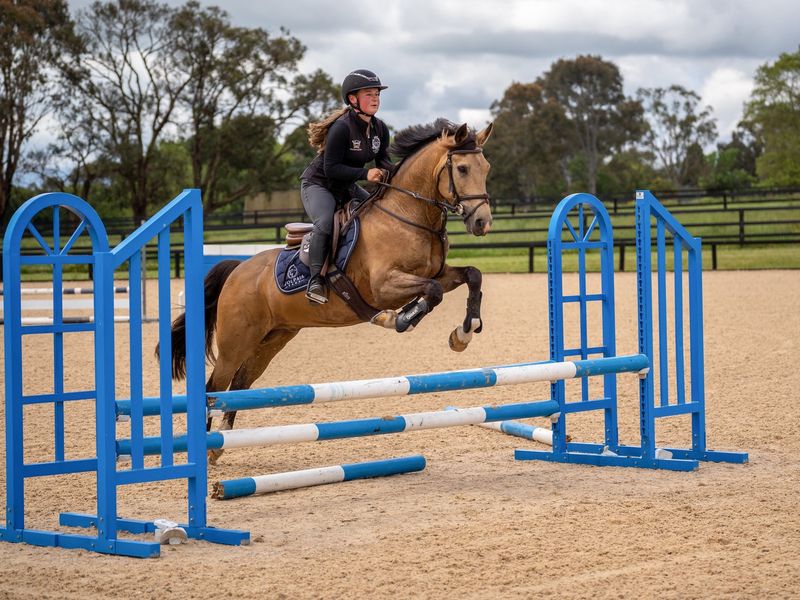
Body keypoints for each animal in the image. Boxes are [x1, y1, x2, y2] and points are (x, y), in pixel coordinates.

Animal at [166, 118, 494, 462]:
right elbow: (431, 292)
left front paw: (464, 333)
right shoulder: (384, 285)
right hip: (236, 341)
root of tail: (237, 271)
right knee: (214, 385)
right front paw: (398, 319)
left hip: (273, 338)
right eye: (461, 168)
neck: (408, 216)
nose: (483, 222)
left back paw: (221, 443)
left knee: (240, 383)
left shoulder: (439, 273)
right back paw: (208, 447)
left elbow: (472, 276)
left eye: (485, 167)